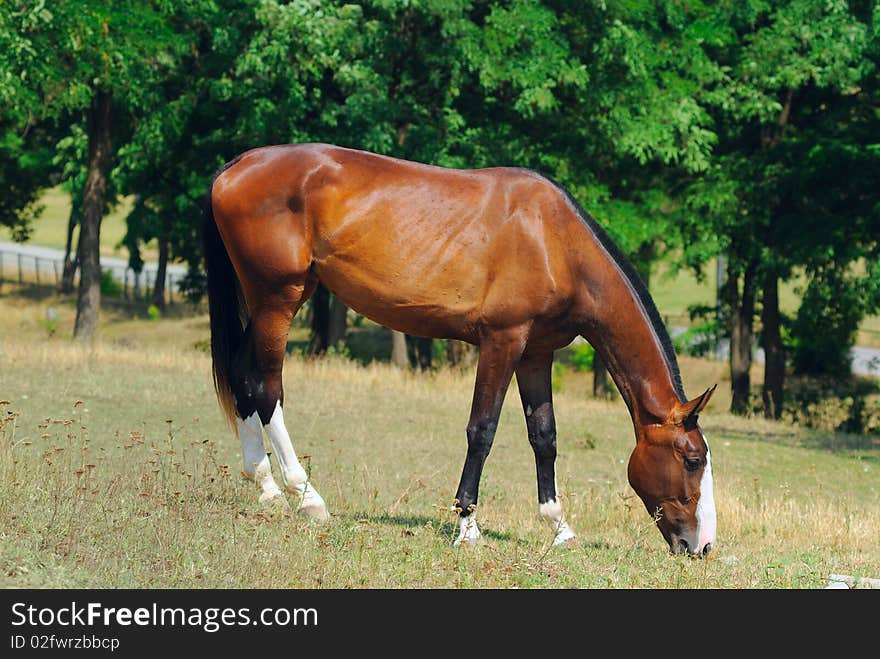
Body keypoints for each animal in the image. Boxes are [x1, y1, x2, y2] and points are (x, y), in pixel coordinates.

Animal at [203, 143, 720, 556]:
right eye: (692, 460)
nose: (701, 547)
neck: (553, 240)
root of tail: (237, 165)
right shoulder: (502, 341)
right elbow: (483, 430)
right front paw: (468, 525)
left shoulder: (536, 353)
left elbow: (544, 436)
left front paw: (559, 526)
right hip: (277, 299)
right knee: (267, 388)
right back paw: (306, 496)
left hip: (272, 302)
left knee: (242, 374)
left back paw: (265, 485)